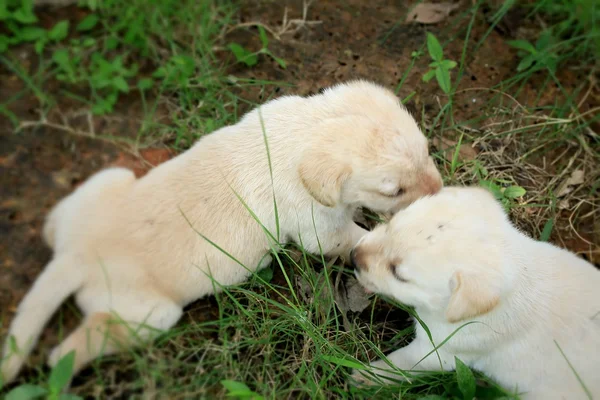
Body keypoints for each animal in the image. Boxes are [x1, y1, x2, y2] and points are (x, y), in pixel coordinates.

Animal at [0, 80, 440, 382]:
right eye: (393, 190)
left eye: (427, 151)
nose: (439, 191)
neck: (303, 132)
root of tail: (75, 255)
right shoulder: (317, 227)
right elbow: (351, 237)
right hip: (149, 313)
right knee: (76, 345)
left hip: (107, 181)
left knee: (55, 224)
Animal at [352, 186, 600, 398]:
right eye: (390, 224)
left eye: (398, 274)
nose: (353, 257)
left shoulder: (440, 351)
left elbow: (399, 364)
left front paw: (365, 376)